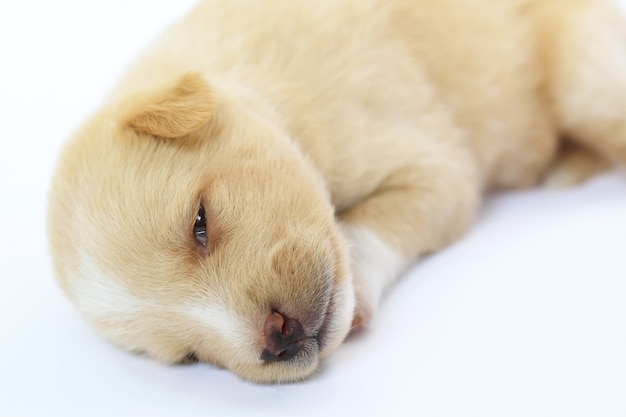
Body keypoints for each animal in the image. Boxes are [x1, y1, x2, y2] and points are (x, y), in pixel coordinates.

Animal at [47, 0, 624, 384]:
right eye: (187, 356)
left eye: (200, 223)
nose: (276, 336)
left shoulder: (434, 170)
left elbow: (368, 231)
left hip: (588, 76)